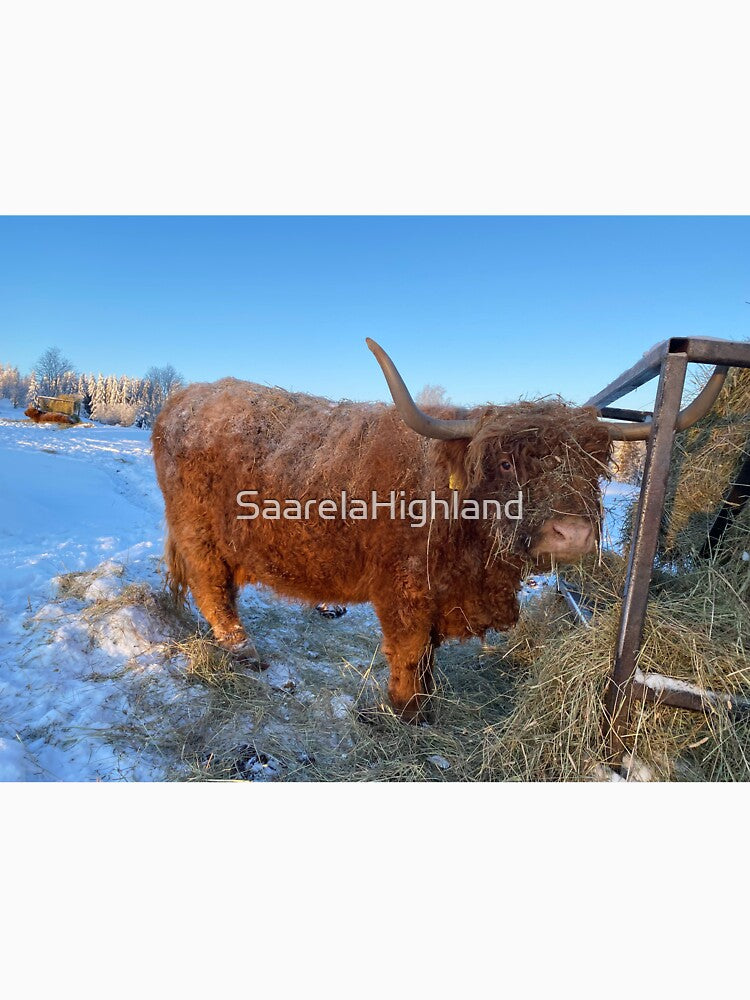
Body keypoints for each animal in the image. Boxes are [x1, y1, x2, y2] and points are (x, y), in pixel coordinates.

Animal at [152, 339, 646, 722]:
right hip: (199, 534)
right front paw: (408, 710)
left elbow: (429, 654)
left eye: (594, 467)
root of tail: (184, 398)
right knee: (212, 590)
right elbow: (410, 651)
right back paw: (243, 650)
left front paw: (425, 702)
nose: (573, 534)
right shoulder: (404, 590)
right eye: (506, 464)